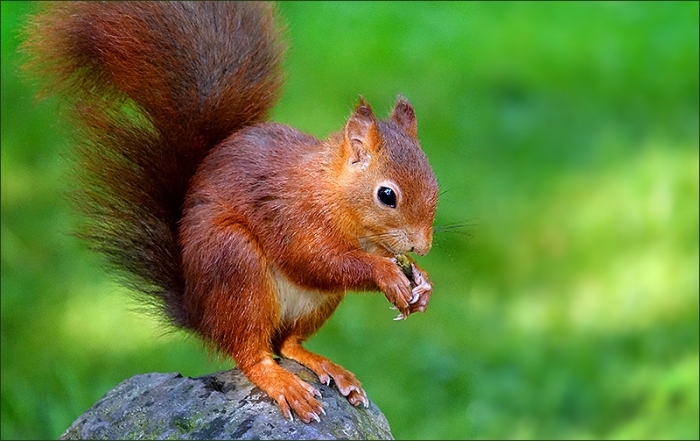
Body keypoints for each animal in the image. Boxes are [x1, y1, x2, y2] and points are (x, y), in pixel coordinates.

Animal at [23, 1, 439, 423]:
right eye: (386, 195)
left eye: (434, 181)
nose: (422, 246)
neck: (334, 196)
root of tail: (201, 313)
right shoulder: (290, 214)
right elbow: (313, 260)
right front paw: (386, 273)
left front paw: (421, 283)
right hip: (236, 269)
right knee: (251, 351)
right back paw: (283, 384)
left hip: (313, 303)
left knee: (287, 344)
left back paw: (327, 366)